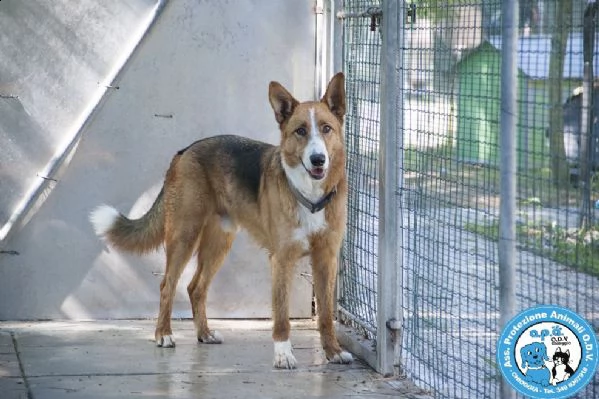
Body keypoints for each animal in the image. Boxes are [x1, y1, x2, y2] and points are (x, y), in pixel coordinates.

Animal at [89, 73, 352, 370]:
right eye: (300, 131)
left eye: (327, 128)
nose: (318, 159)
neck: (309, 195)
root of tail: (185, 151)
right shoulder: (282, 260)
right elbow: (282, 315)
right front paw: (283, 354)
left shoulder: (326, 259)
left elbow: (326, 315)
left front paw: (333, 351)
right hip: (184, 235)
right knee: (168, 285)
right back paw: (164, 334)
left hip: (219, 243)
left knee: (195, 288)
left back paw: (204, 334)